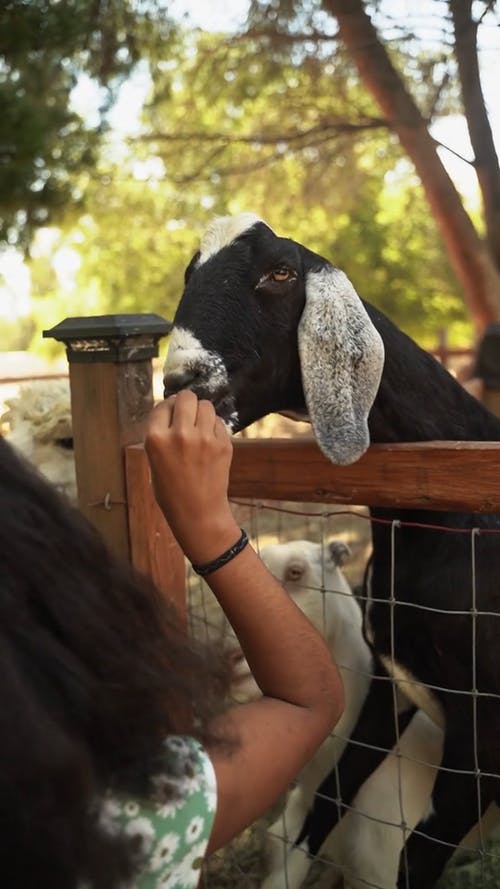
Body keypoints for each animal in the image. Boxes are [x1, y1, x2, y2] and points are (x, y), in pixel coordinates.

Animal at [164, 215, 500, 888]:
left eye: (280, 272)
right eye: (190, 272)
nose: (181, 381)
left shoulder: (485, 728)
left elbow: (417, 856)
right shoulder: (390, 684)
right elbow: (327, 797)